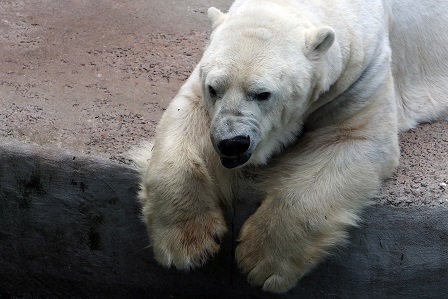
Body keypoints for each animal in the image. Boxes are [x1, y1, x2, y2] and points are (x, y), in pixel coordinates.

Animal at [135, 0, 448, 294]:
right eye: (214, 88)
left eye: (262, 94)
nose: (232, 143)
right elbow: (187, 112)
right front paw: (187, 243)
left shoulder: (362, 69)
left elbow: (352, 138)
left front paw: (260, 261)